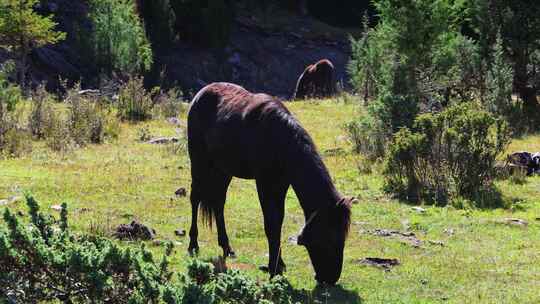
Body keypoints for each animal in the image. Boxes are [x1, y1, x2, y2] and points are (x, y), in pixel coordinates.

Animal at [187, 82, 354, 284]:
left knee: (219, 204)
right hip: (199, 161)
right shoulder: (264, 184)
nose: (331, 278)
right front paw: (274, 268)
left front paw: (278, 263)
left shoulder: (281, 185)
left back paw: (226, 247)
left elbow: (278, 223)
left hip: (223, 170)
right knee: (195, 198)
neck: (280, 142)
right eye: (330, 238)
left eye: (343, 237)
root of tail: (201, 94)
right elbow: (271, 224)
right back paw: (193, 244)